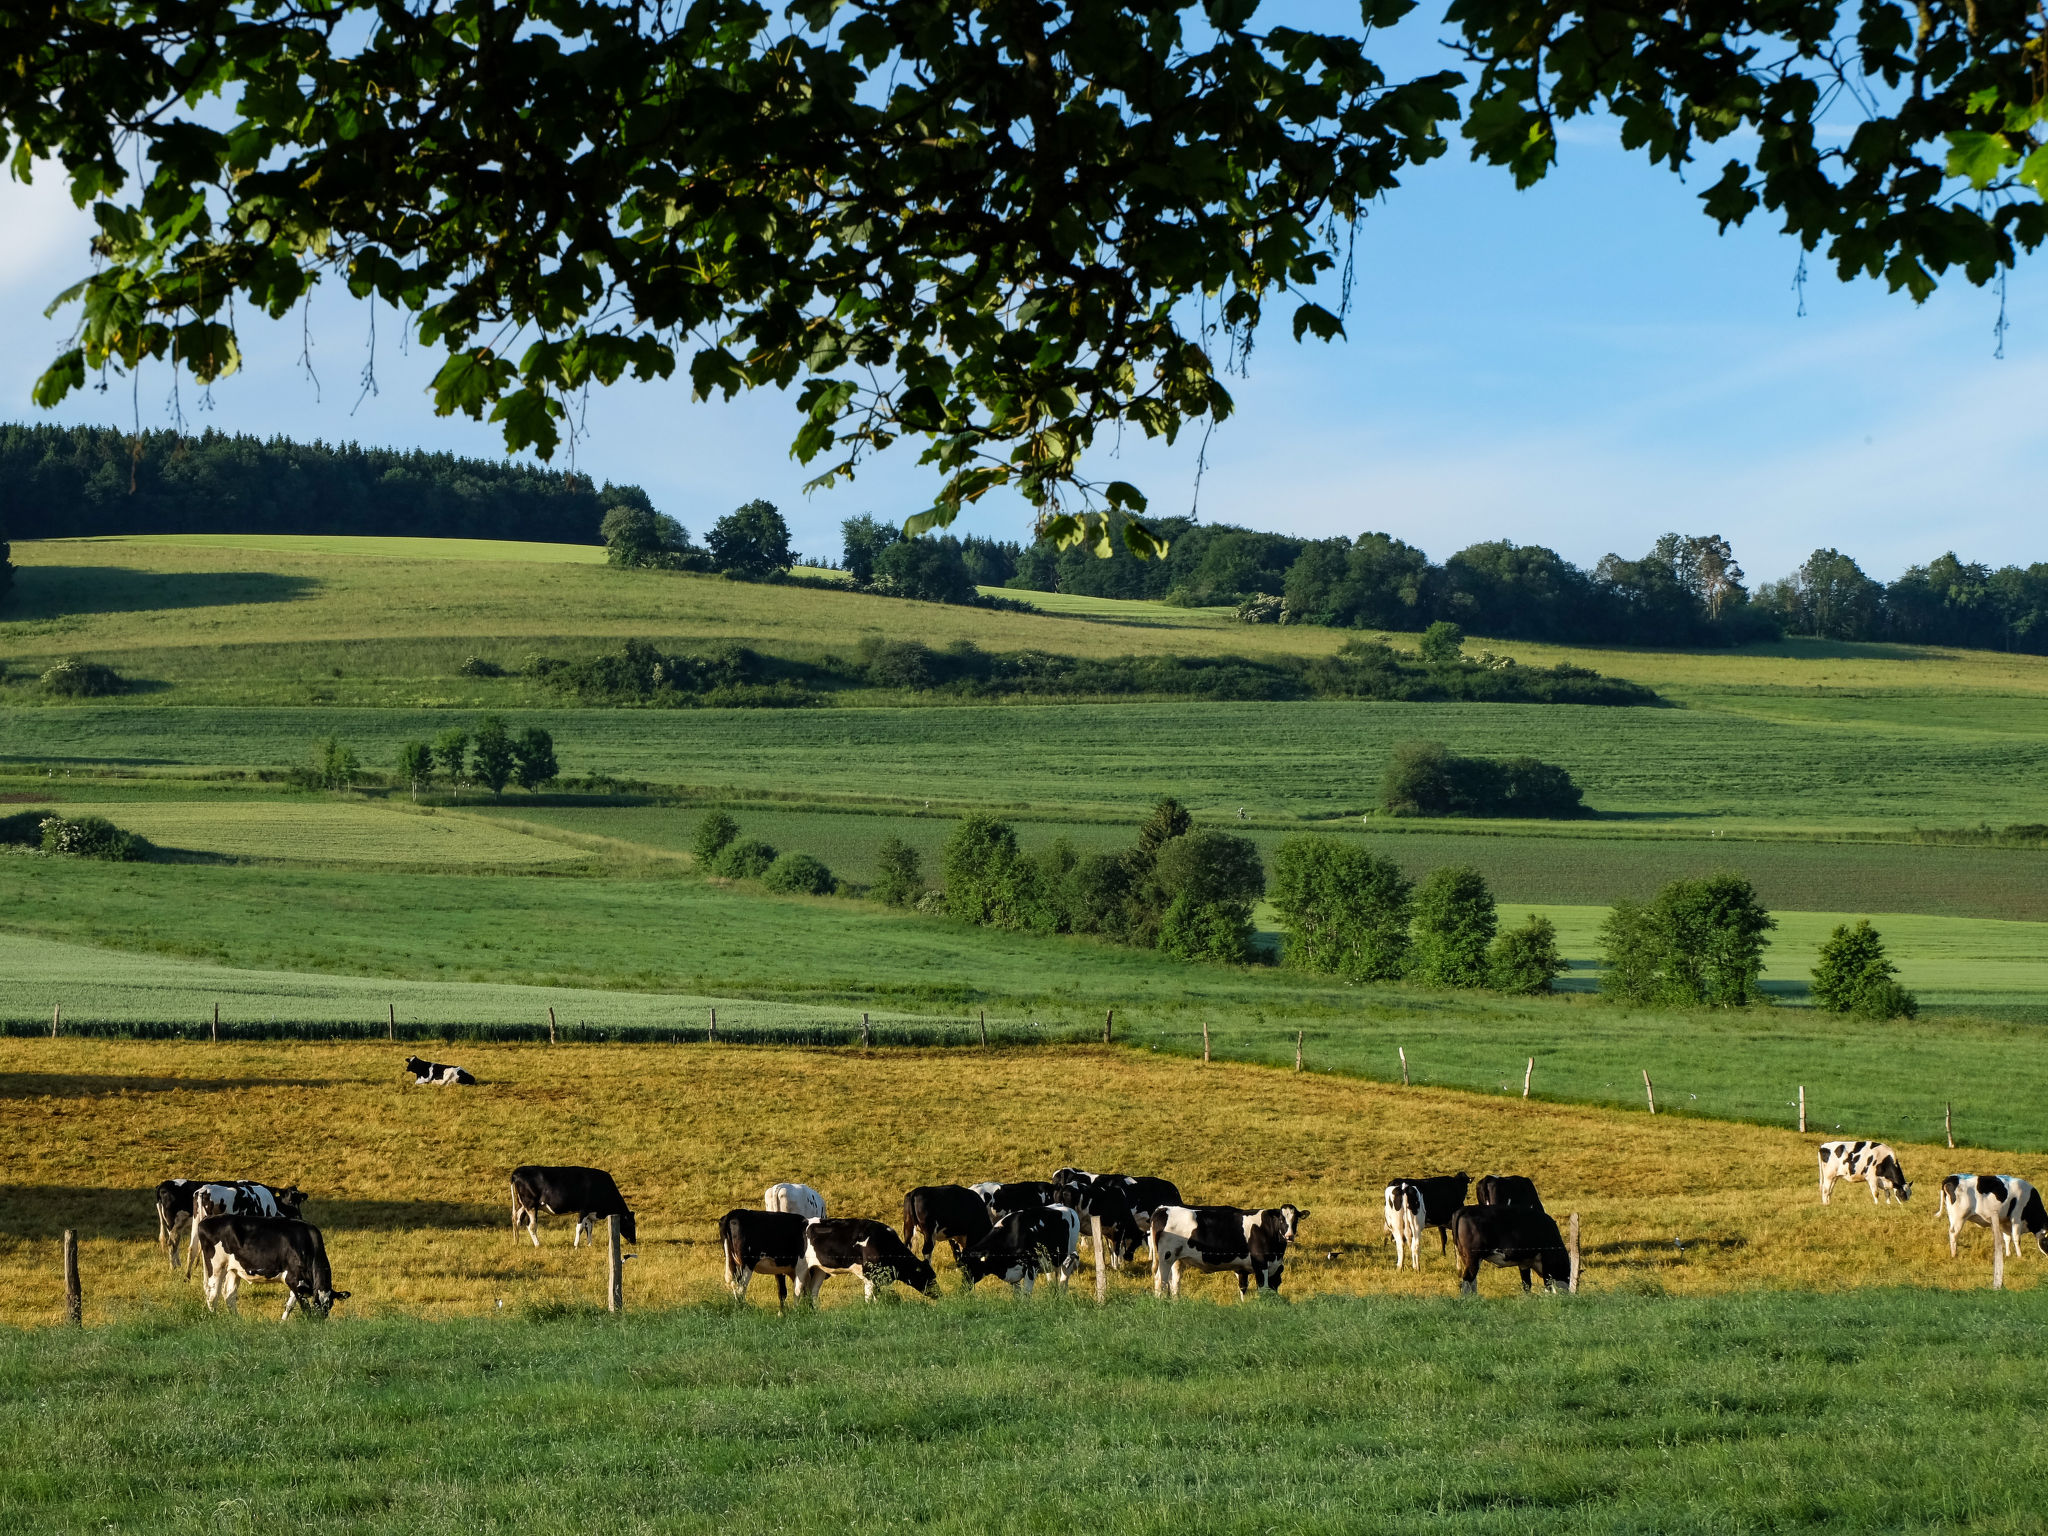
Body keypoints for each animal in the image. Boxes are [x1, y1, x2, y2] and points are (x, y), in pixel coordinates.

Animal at [192, 1212, 348, 1327]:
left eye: (329, 1306)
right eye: (316, 1304)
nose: (320, 1322)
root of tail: (208, 1219)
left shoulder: (298, 1282)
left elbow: (289, 1305)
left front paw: (282, 1323)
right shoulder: (293, 1279)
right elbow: (304, 1307)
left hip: (234, 1269)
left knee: (229, 1295)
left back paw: (237, 1321)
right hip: (216, 1266)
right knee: (213, 1296)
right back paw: (215, 1319)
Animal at [794, 1220, 937, 1302]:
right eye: (930, 1277)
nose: (939, 1294)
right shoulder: (870, 1275)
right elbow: (870, 1297)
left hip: (819, 1269)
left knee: (813, 1292)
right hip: (801, 1268)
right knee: (797, 1291)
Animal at [1146, 1204, 1302, 1302]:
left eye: (1296, 1220)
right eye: (1281, 1219)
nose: (1289, 1236)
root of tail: (1163, 1208)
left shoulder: (1242, 1268)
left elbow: (1243, 1287)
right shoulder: (1261, 1263)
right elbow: (1262, 1288)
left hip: (1176, 1259)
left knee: (1174, 1282)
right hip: (1165, 1257)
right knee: (1160, 1280)